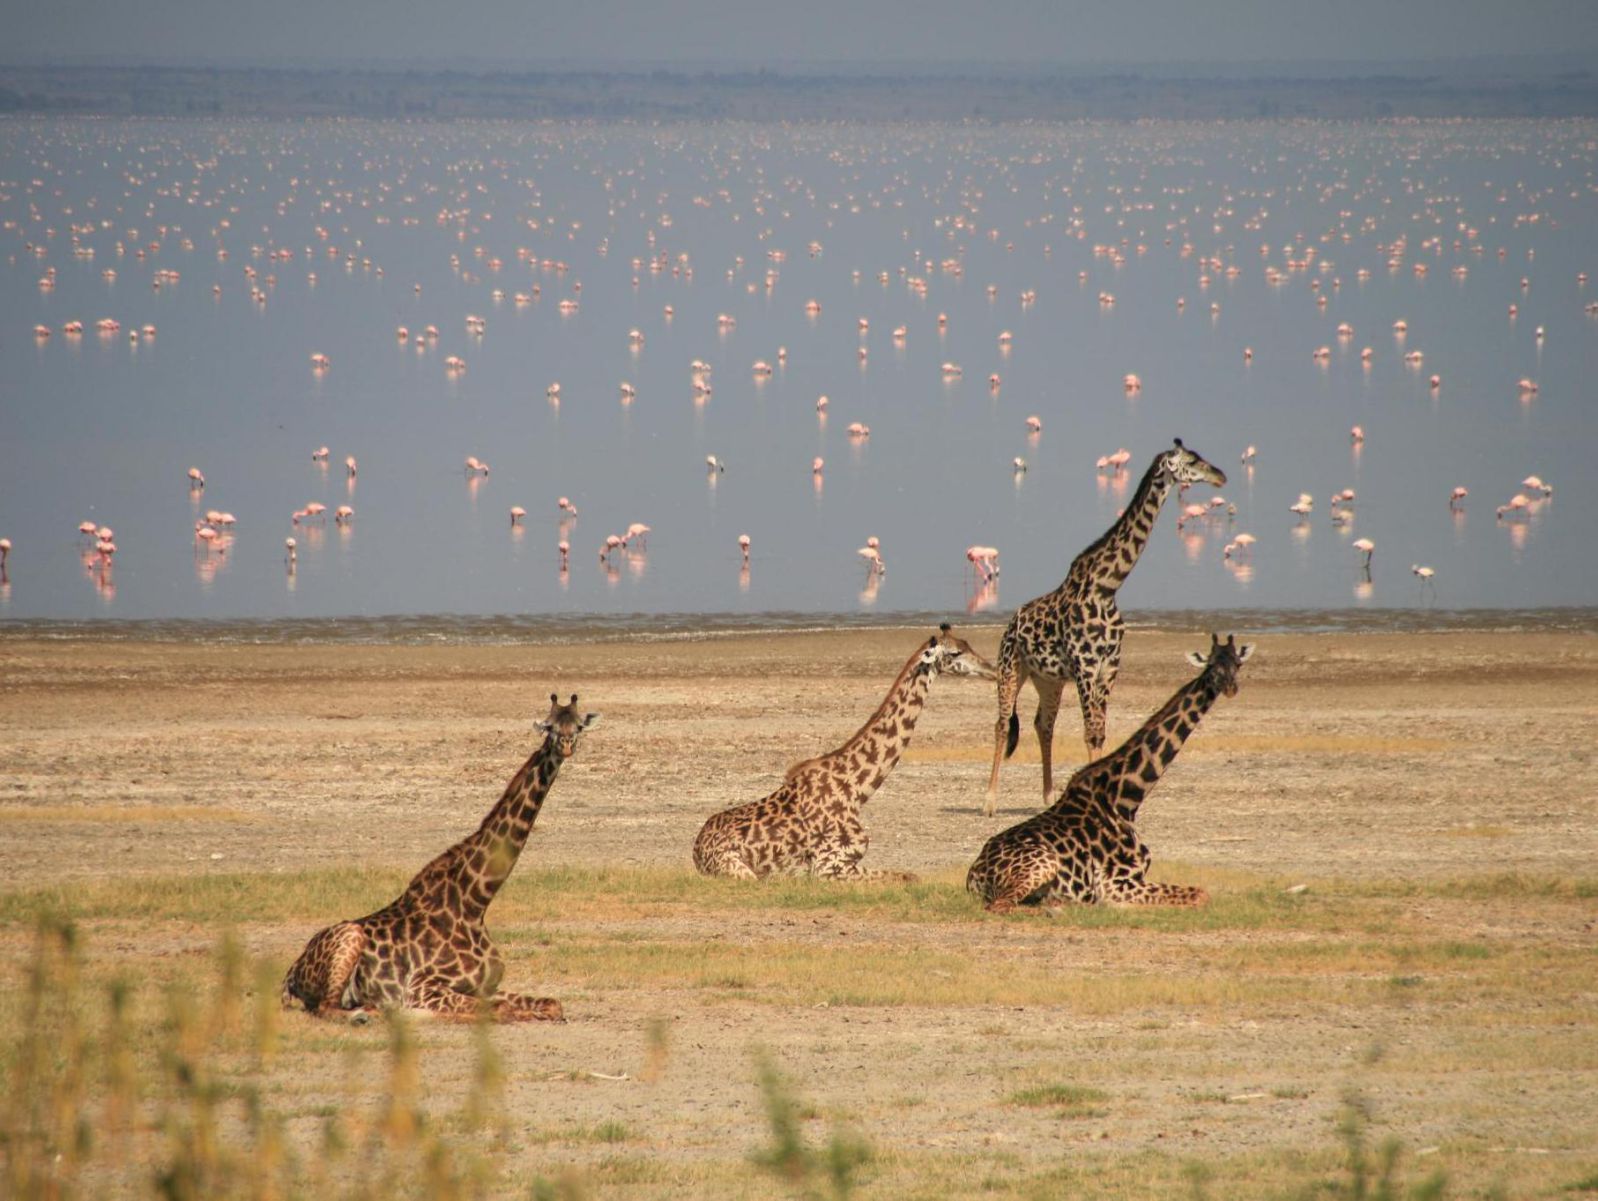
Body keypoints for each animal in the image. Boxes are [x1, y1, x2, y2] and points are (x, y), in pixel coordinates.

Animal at [281, 693, 600, 1022]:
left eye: (578, 726)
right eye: (549, 727)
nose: (566, 744)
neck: (475, 902)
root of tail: (292, 971)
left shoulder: (485, 986)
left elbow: (551, 1004)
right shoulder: (421, 987)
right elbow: (499, 1011)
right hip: (350, 938)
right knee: (326, 1007)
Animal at [693, 629, 990, 881]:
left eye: (967, 644)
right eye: (955, 653)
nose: (990, 669)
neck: (856, 790)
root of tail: (696, 851)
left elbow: (909, 876)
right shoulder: (829, 866)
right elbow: (906, 877)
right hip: (741, 871)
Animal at [965, 638, 1252, 907]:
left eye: (1237, 664)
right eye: (1212, 666)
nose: (1230, 687)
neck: (1126, 797)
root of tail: (973, 876)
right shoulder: (1113, 882)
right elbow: (1200, 894)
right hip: (1042, 864)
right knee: (1003, 905)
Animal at [984, 440, 1220, 817]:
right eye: (1192, 461)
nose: (1221, 476)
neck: (1106, 586)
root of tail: (1009, 625)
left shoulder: (1108, 668)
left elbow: (1099, 733)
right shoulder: (1085, 667)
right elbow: (1091, 732)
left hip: (1048, 679)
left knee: (1043, 725)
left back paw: (1048, 798)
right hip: (1010, 669)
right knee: (1002, 724)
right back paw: (989, 802)